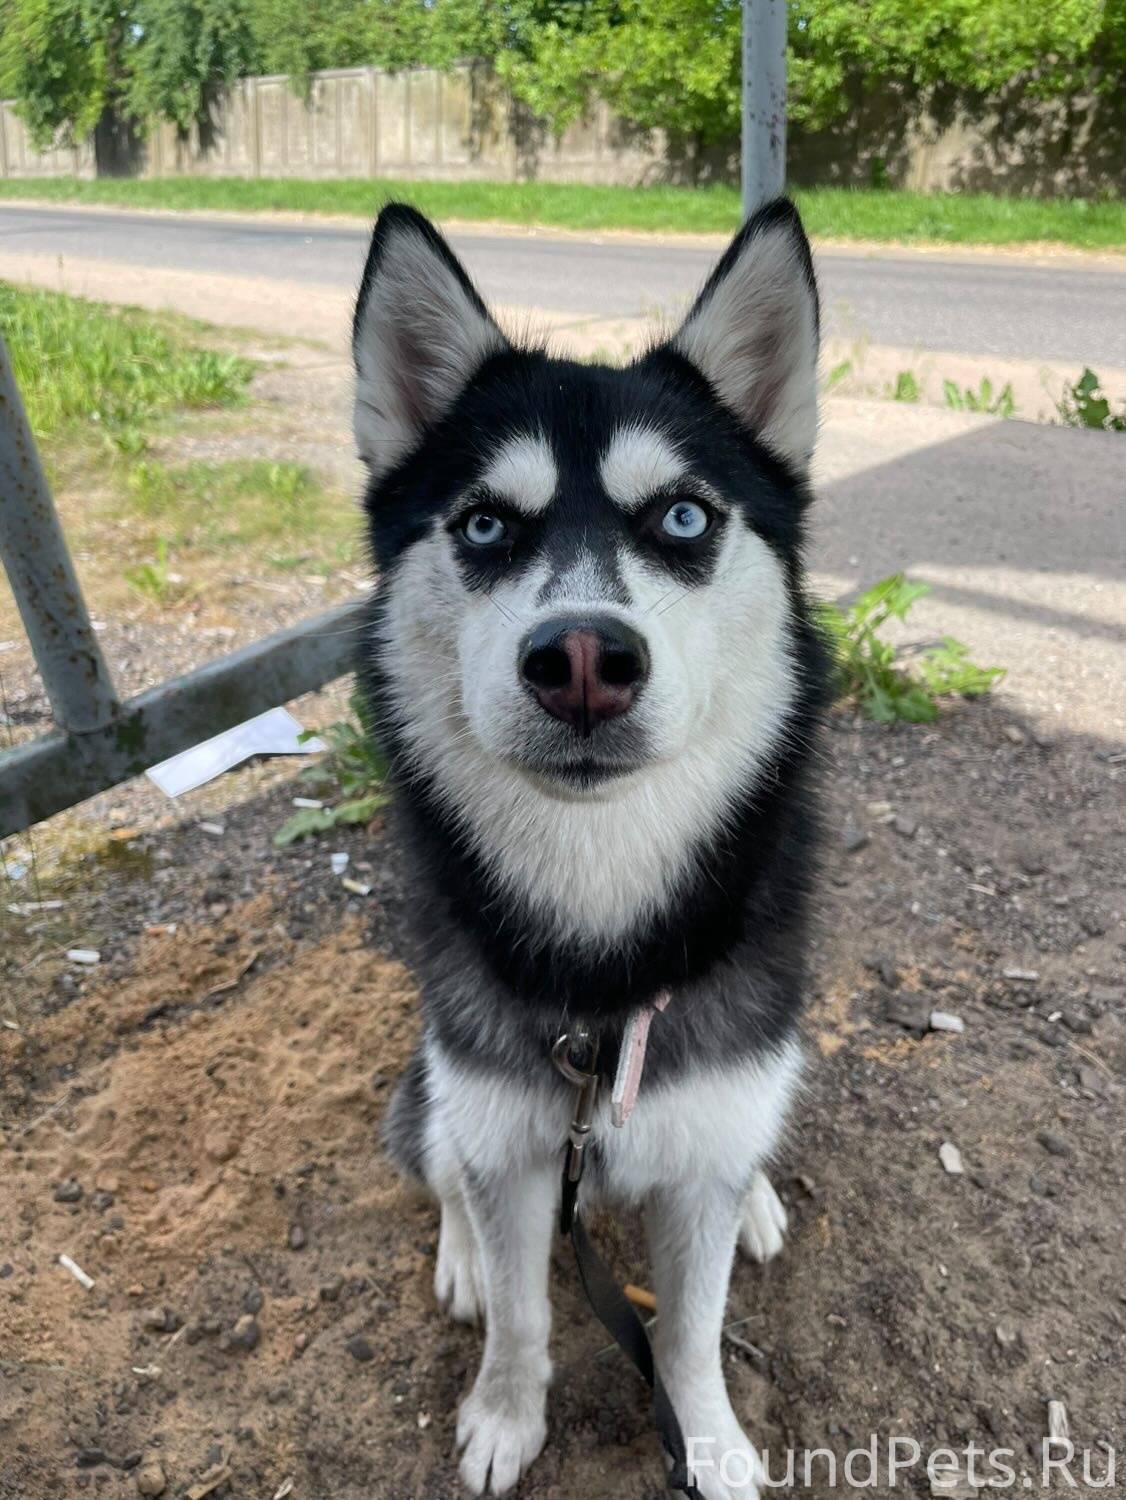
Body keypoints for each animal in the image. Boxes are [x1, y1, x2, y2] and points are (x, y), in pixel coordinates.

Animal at [352, 202, 827, 1500]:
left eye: (682, 516)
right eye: (482, 524)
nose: (579, 659)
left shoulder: (707, 1132)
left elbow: (692, 1326)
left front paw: (706, 1440)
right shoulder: (512, 1136)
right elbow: (523, 1307)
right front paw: (504, 1417)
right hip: (440, 1076)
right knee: (438, 1154)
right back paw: (461, 1253)